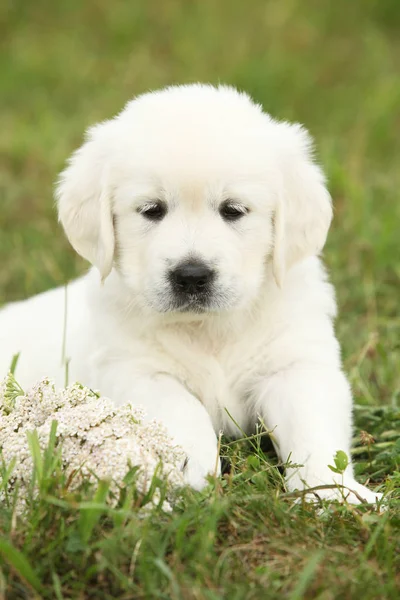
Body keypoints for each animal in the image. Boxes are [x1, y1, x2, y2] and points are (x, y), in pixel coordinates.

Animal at [0, 84, 382, 504]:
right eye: (152, 209)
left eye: (233, 210)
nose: (192, 276)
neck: (207, 330)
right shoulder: (136, 371)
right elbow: (183, 409)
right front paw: (194, 472)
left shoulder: (296, 364)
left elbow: (313, 431)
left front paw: (335, 495)